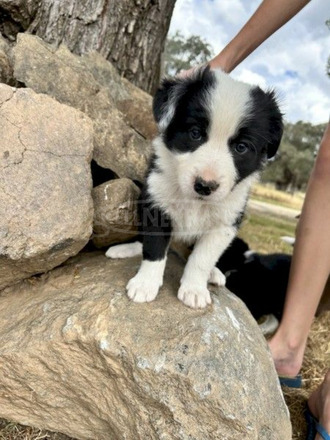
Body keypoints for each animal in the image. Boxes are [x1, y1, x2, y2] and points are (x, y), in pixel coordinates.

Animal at [107, 68, 282, 310]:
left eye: (241, 147)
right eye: (195, 133)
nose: (205, 186)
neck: (193, 201)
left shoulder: (225, 222)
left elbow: (202, 258)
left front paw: (194, 289)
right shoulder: (156, 202)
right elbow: (154, 247)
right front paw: (145, 284)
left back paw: (214, 274)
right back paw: (125, 249)